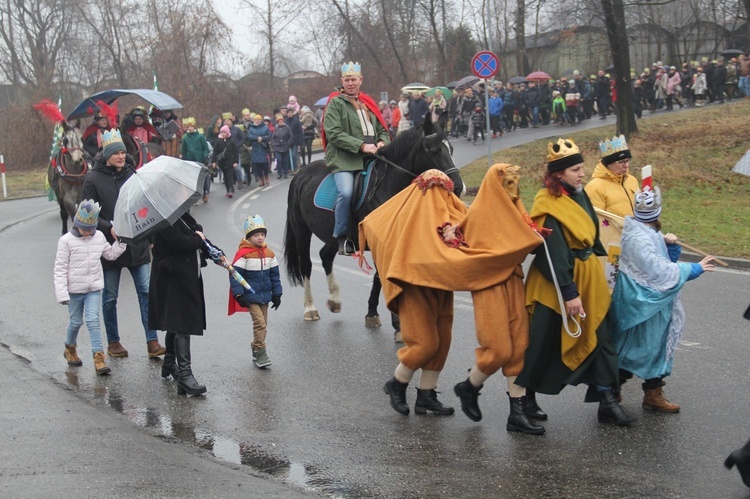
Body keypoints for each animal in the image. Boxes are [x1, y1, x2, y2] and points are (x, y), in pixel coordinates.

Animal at [284, 113, 462, 322]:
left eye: (451, 149)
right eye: (434, 151)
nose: (458, 187)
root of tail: (299, 175)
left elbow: (384, 277)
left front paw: (379, 315)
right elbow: (383, 277)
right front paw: (389, 320)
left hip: (333, 234)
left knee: (325, 257)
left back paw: (335, 301)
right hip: (301, 231)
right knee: (307, 265)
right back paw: (310, 308)